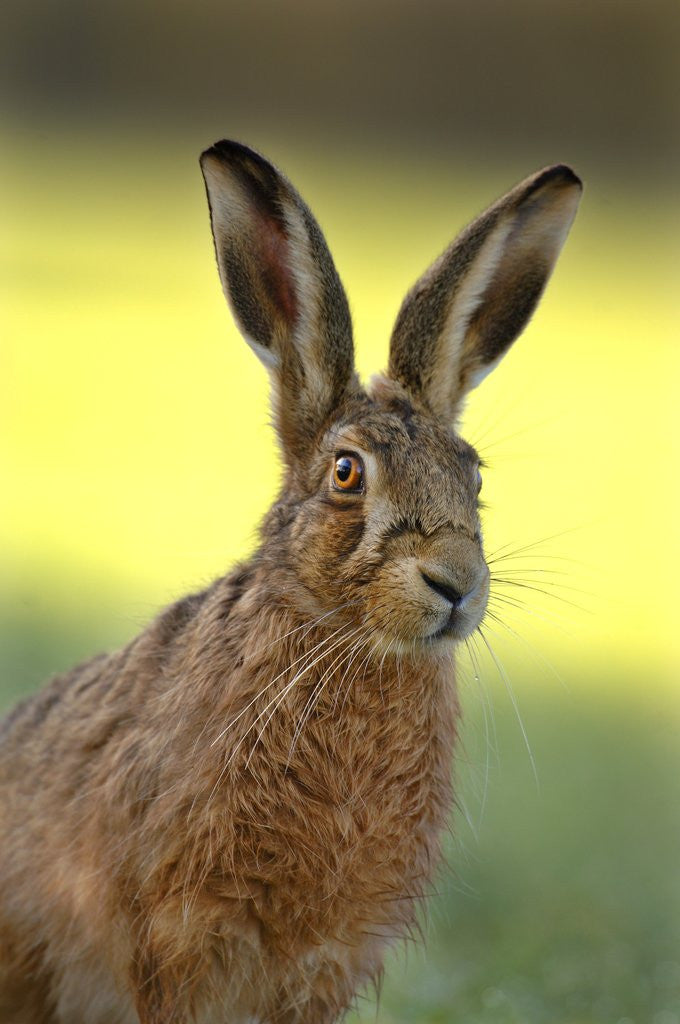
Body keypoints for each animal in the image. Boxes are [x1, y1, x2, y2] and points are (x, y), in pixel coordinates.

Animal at [0, 140, 581, 1024]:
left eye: (473, 476)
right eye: (346, 474)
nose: (455, 584)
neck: (340, 639)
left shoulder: (325, 958)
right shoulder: (179, 934)